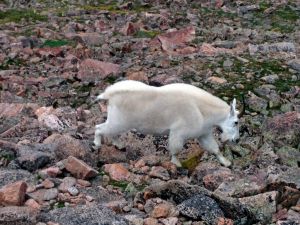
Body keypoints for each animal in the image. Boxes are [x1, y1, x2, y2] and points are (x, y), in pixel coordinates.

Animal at [92, 80, 240, 166]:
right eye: (236, 122)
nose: (236, 140)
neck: (203, 110)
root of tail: (109, 94)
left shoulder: (203, 133)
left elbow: (214, 148)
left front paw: (226, 162)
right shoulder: (179, 132)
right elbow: (176, 148)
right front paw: (176, 163)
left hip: (119, 121)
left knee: (111, 132)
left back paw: (119, 145)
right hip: (119, 120)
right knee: (99, 128)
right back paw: (97, 144)